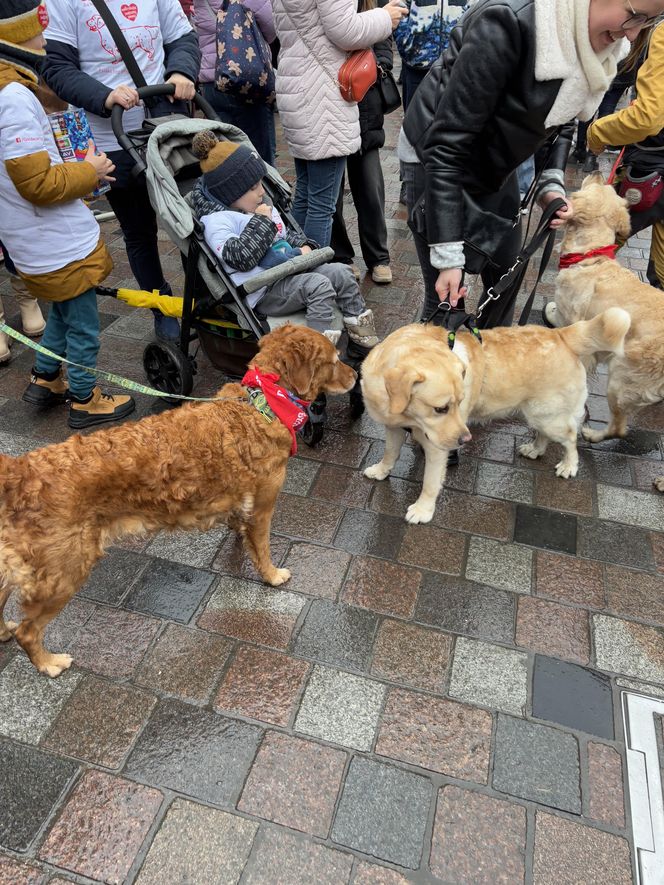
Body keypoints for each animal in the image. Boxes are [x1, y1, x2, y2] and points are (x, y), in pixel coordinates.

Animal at [0, 324, 358, 676]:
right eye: (334, 360)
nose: (356, 374)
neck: (262, 404)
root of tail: (21, 470)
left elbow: (241, 531)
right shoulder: (262, 508)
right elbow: (263, 551)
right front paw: (272, 575)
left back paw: (4, 631)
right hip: (65, 571)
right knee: (28, 631)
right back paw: (49, 663)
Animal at [552, 173, 664, 490]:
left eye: (594, 186)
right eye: (609, 188)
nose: (599, 172)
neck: (589, 256)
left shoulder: (572, 325)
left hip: (621, 378)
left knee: (620, 427)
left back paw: (592, 435)